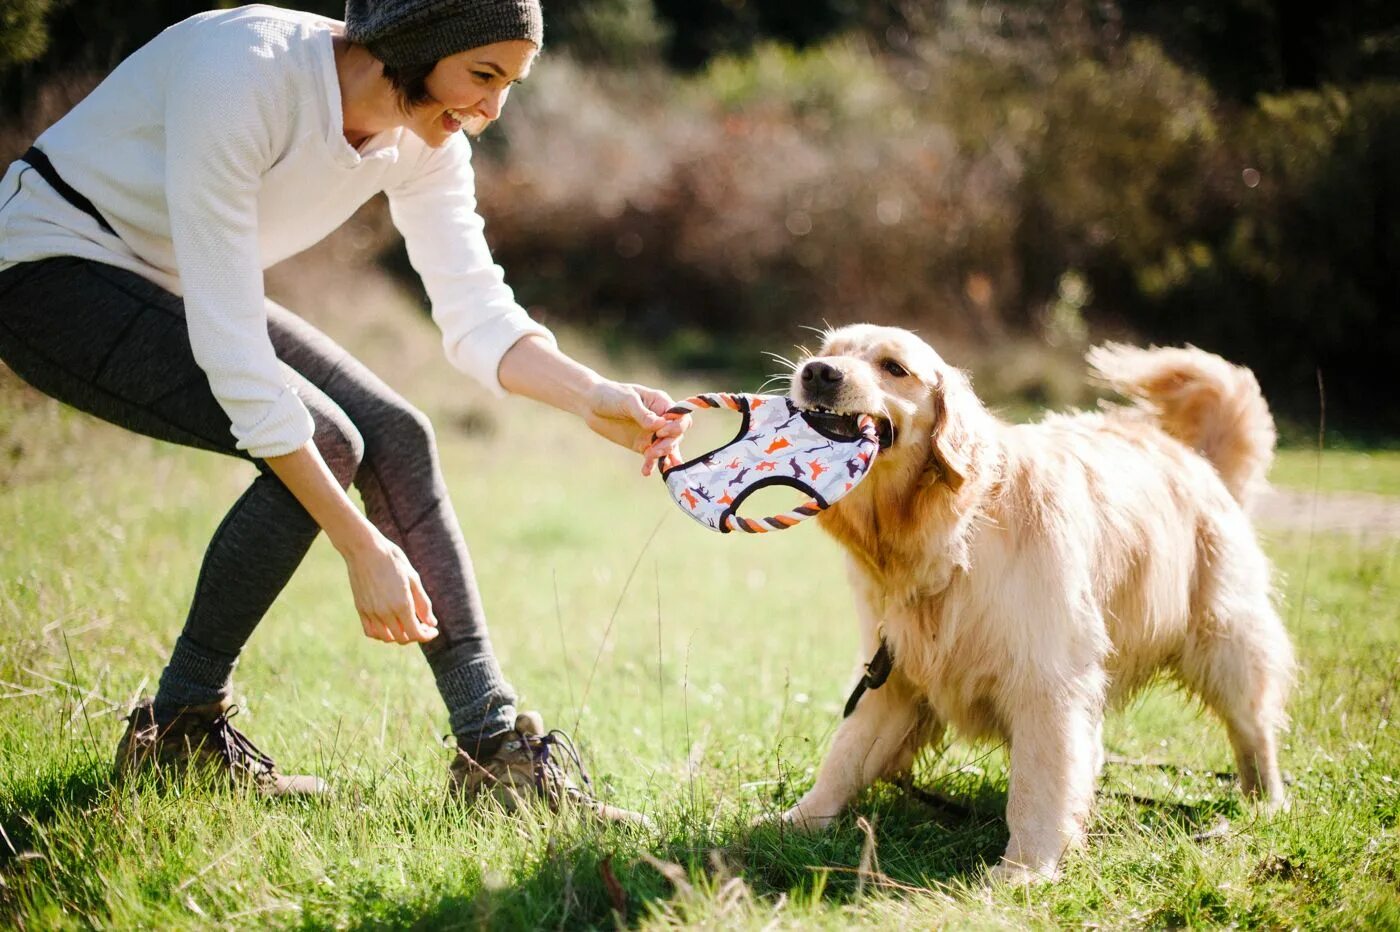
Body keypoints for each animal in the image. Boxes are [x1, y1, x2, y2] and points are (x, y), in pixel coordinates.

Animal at [784, 324, 1293, 878]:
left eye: (894, 367)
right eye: (828, 353)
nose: (817, 373)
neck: (951, 529)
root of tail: (1193, 457)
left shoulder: (1046, 677)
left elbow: (1037, 781)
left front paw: (1025, 869)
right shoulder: (893, 671)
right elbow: (847, 753)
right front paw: (798, 820)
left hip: (1224, 641)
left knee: (1254, 727)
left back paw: (1266, 800)